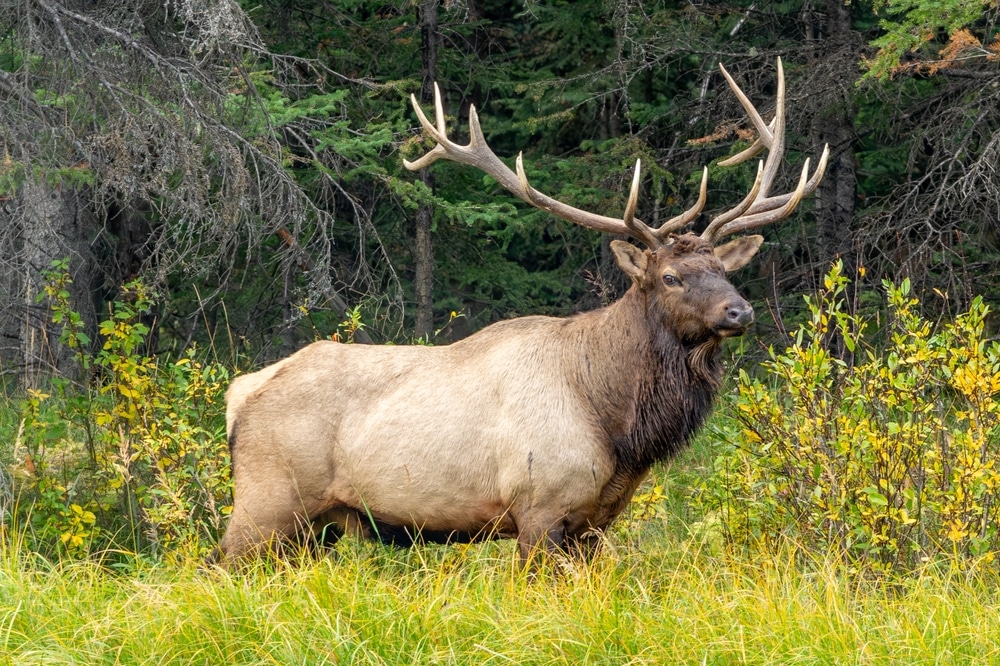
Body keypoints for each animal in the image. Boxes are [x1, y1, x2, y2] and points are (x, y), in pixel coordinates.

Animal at [219, 58, 828, 564]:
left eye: (724, 269)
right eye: (671, 277)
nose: (739, 311)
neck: (616, 424)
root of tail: (237, 396)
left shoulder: (594, 521)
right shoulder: (539, 506)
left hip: (314, 526)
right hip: (265, 502)